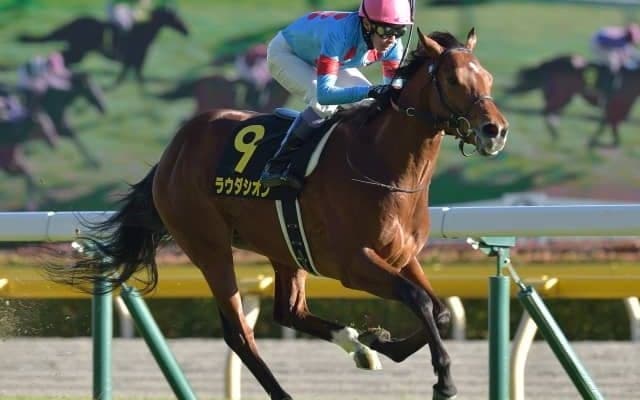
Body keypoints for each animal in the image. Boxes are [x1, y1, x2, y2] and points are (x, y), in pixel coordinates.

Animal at [17, 7, 189, 89]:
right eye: (176, 18)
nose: (187, 31)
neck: (143, 30)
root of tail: (72, 23)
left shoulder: (132, 61)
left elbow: (129, 77)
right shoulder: (135, 60)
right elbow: (134, 78)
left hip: (77, 51)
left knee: (61, 57)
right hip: (79, 51)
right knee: (60, 57)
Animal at [46, 29, 508, 400]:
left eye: (488, 78)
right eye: (453, 79)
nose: (496, 131)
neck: (381, 163)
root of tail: (173, 150)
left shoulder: (402, 256)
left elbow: (439, 309)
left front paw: (379, 341)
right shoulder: (353, 263)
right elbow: (420, 300)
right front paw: (443, 379)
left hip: (285, 247)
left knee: (288, 311)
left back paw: (357, 344)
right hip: (208, 246)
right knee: (239, 333)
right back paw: (288, 388)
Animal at [507, 54, 640, 147]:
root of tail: (551, 62)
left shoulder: (616, 106)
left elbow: (608, 122)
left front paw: (608, 141)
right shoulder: (617, 105)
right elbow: (610, 122)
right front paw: (598, 141)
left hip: (562, 95)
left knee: (550, 111)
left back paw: (555, 131)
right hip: (563, 95)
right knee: (547, 111)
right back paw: (555, 134)